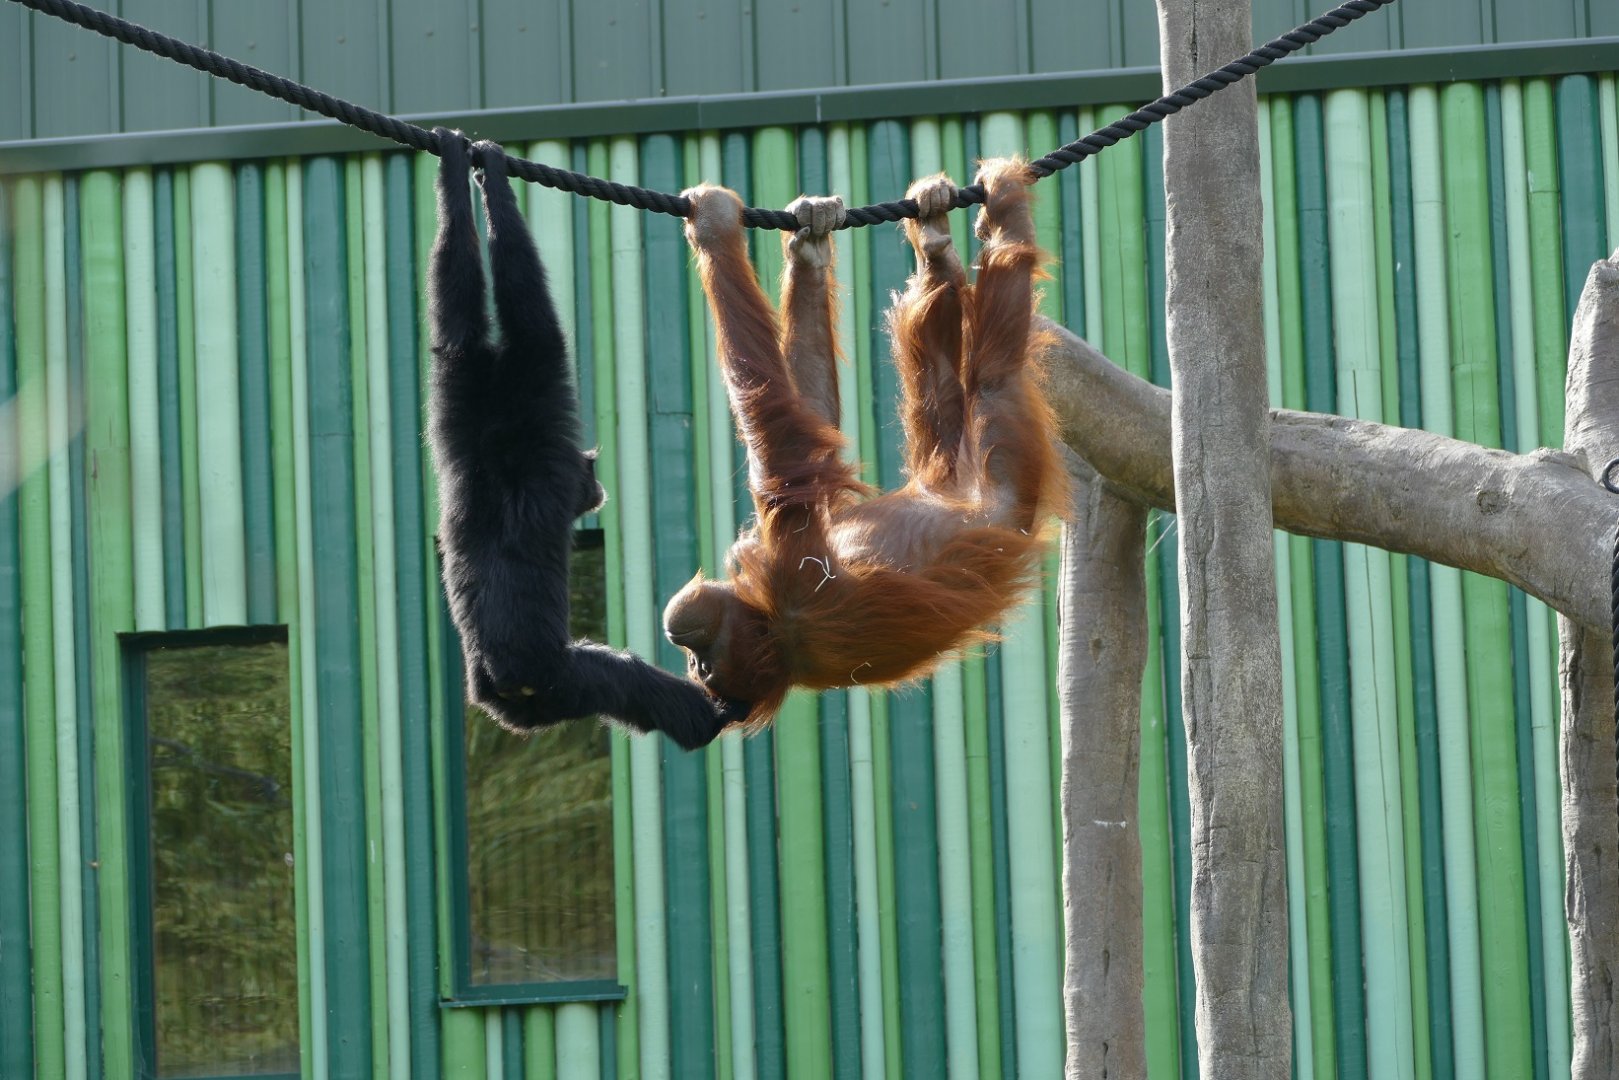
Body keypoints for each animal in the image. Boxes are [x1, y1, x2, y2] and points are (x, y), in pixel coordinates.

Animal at [427, 129, 747, 750]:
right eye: (589, 469)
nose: (595, 486)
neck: (505, 468)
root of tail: (501, 686)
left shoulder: (465, 442)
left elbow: (458, 341)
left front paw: (463, 168)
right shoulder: (545, 451)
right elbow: (538, 333)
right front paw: (492, 172)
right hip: (559, 681)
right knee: (621, 679)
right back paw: (707, 715)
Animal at [664, 159, 1066, 726]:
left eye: (700, 656)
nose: (690, 656)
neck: (771, 622)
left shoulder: (785, 571)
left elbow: (800, 442)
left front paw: (802, 243)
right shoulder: (799, 587)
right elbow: (789, 459)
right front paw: (717, 226)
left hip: (958, 471)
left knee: (941, 369)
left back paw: (937, 239)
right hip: (1004, 461)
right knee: (993, 369)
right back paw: (1000, 220)